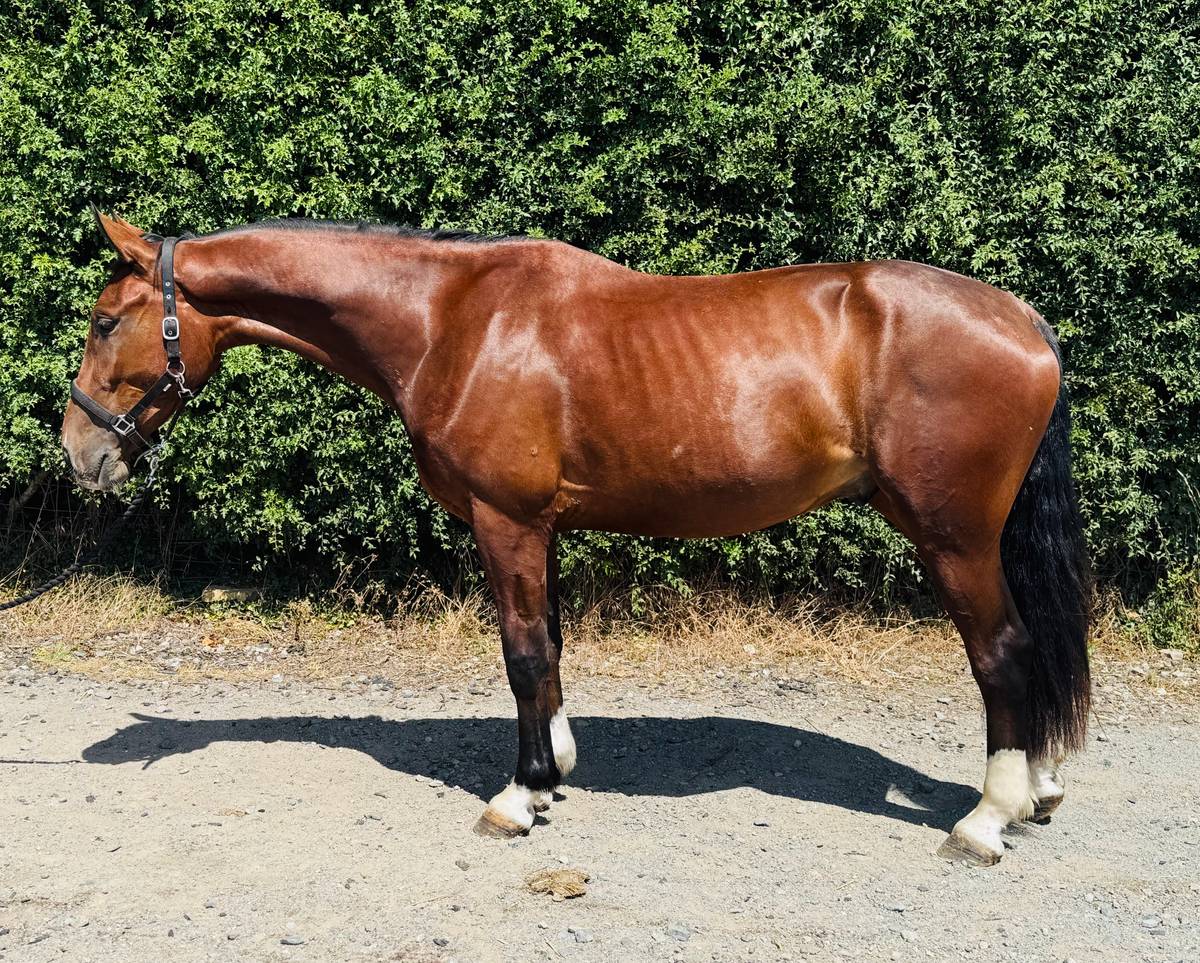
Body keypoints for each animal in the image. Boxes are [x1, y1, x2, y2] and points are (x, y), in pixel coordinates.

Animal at [62, 211, 1091, 866]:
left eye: (106, 320)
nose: (80, 452)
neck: (454, 320)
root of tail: (1024, 320)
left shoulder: (505, 520)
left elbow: (521, 652)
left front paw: (517, 798)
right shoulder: (541, 527)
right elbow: (550, 647)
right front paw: (554, 772)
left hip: (952, 536)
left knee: (1003, 652)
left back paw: (986, 818)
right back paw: (1039, 790)